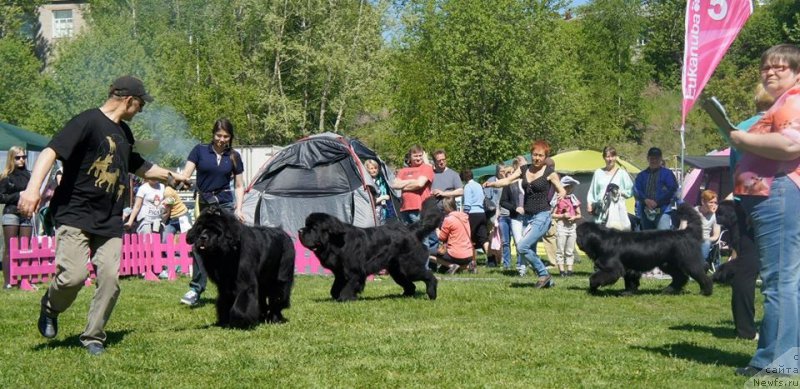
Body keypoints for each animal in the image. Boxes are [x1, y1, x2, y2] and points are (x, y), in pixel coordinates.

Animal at [298, 197, 440, 300]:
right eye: (306, 225)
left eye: (313, 227)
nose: (300, 230)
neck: (336, 242)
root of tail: (410, 230)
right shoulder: (340, 272)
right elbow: (335, 286)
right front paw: (337, 296)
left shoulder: (354, 271)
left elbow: (349, 285)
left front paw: (345, 298)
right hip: (397, 270)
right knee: (409, 284)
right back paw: (405, 296)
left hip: (409, 266)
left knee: (429, 275)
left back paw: (432, 294)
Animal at [576, 202, 712, 296]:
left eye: (578, 234)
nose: (577, 241)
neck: (601, 239)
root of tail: (686, 232)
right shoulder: (629, 268)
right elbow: (630, 281)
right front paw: (627, 292)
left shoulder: (613, 269)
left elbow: (595, 277)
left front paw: (592, 288)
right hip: (667, 264)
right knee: (681, 277)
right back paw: (668, 290)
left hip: (689, 262)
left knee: (701, 275)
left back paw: (705, 292)